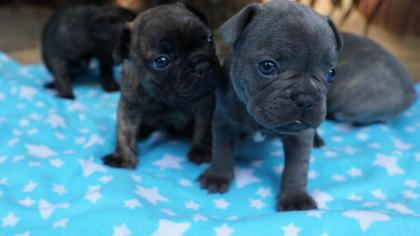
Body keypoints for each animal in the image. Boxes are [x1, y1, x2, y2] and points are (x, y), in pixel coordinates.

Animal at [101, 2, 223, 168]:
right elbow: (124, 130)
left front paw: (201, 150)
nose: (202, 66)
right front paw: (123, 156)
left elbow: (203, 127)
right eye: (161, 61)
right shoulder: (129, 105)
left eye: (210, 40)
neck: (163, 98)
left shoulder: (205, 103)